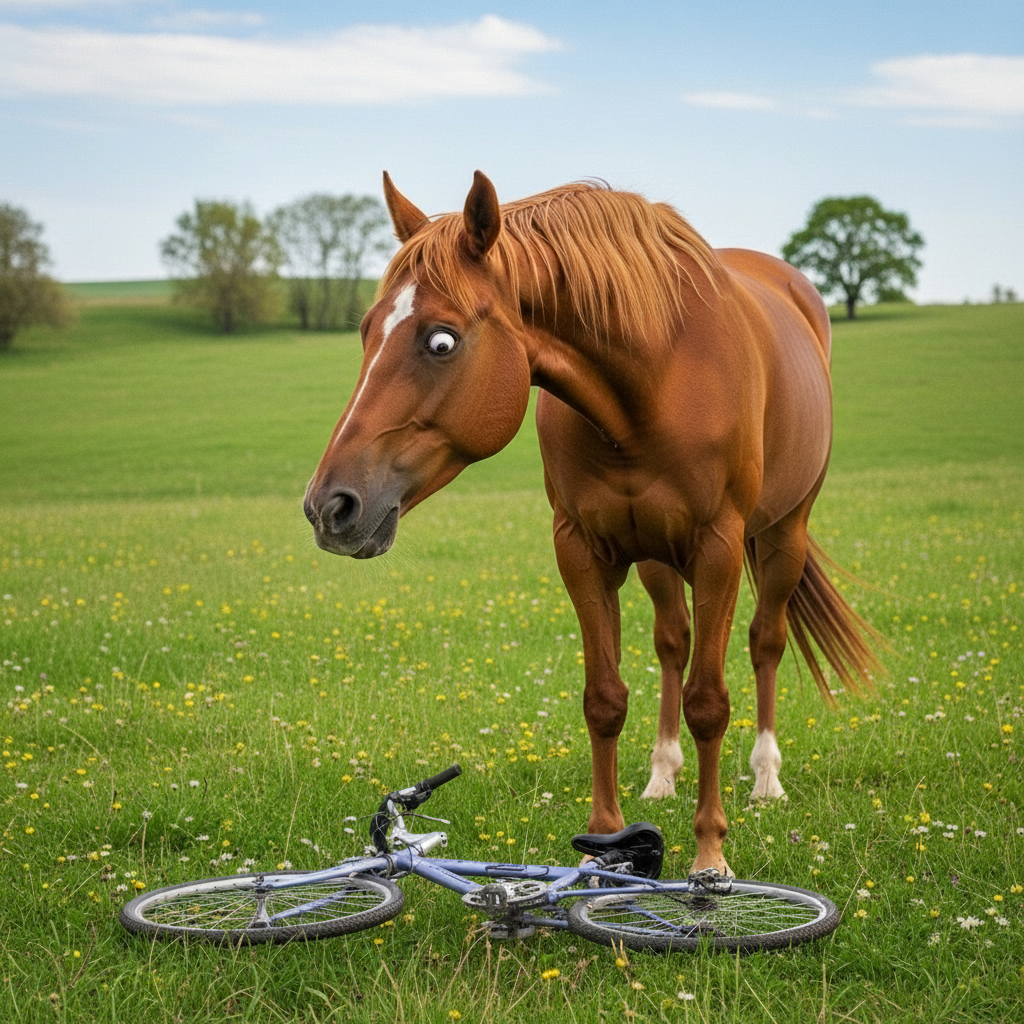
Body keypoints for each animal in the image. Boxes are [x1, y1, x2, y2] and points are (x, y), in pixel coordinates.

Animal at [303, 171, 879, 876]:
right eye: (365, 331)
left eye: (442, 340)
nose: (330, 506)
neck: (655, 381)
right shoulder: (580, 548)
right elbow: (604, 699)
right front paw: (606, 843)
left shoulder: (717, 548)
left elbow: (709, 703)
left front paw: (709, 854)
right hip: (659, 555)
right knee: (673, 642)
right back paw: (662, 772)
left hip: (782, 534)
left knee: (764, 642)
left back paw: (767, 776)